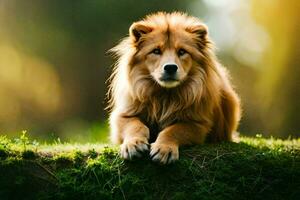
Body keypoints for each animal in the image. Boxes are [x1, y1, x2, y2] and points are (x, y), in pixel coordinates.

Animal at [108, 11, 241, 163]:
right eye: (156, 51)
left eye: (182, 52)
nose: (170, 67)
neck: (165, 95)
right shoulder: (124, 115)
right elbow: (135, 125)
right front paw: (133, 144)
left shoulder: (198, 124)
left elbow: (173, 130)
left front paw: (164, 149)